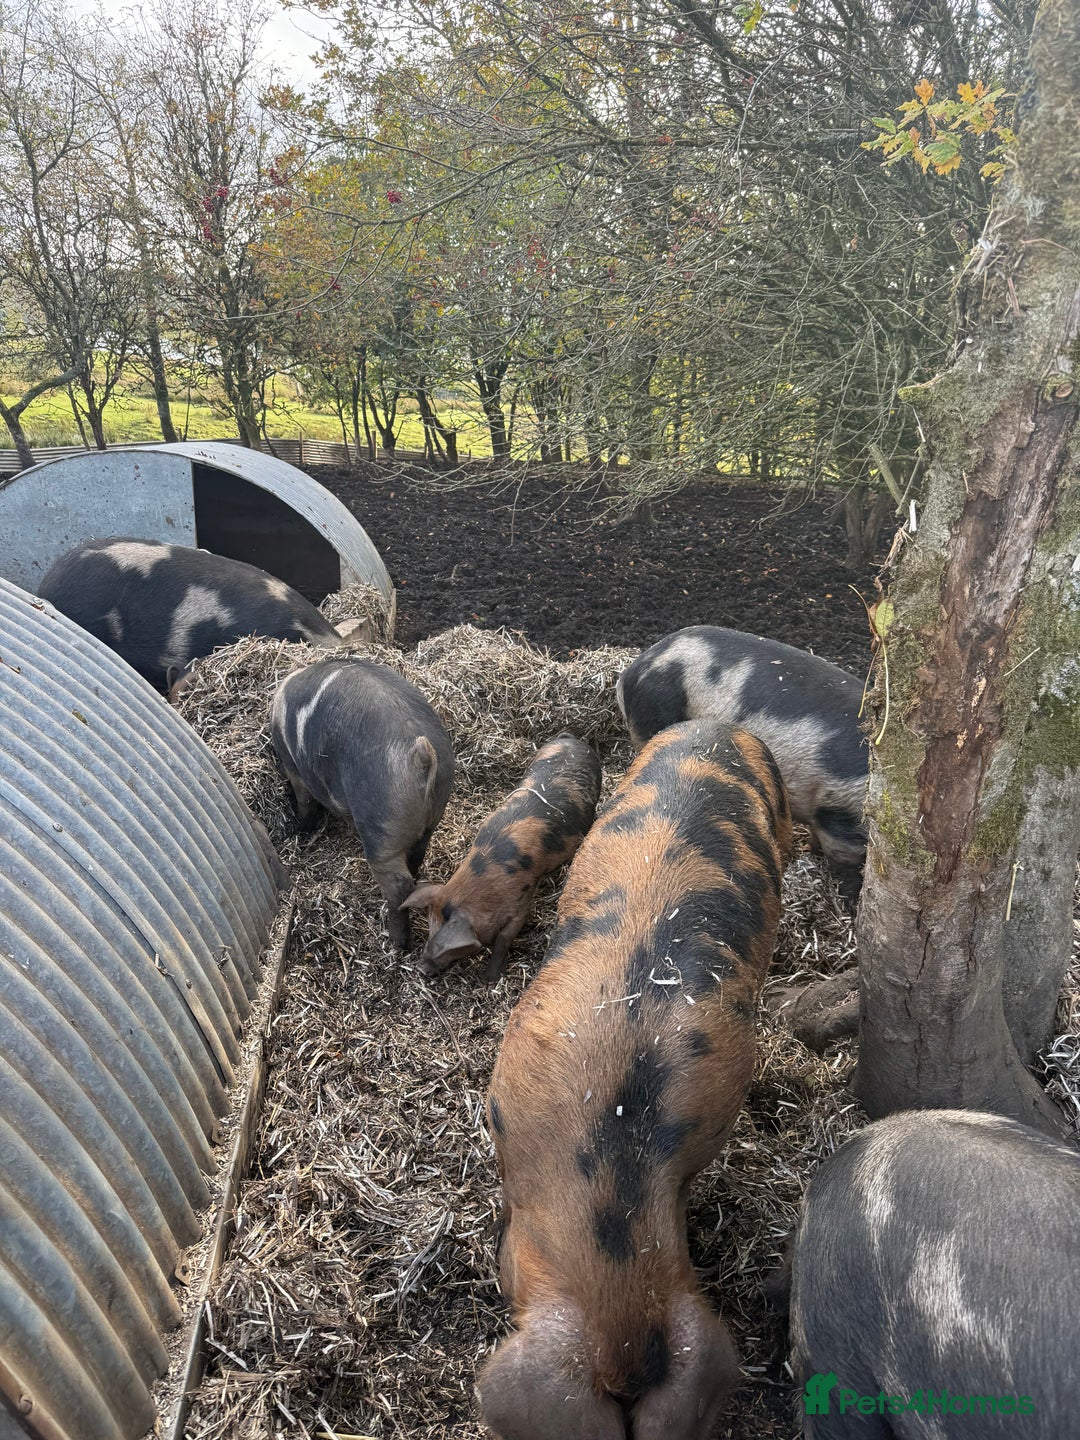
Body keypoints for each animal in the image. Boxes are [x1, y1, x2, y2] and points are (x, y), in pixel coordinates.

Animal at [270, 657, 454, 950]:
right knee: (416, 859)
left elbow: (305, 801)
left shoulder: (293, 768)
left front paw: (301, 830)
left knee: (398, 885)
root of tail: (420, 757)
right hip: (431, 817)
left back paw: (397, 943)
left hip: (381, 825)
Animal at [401, 734, 602, 980]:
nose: (421, 968)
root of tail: (570, 738)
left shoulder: (521, 902)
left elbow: (504, 939)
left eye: (452, 948)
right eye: (430, 928)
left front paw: (489, 979)